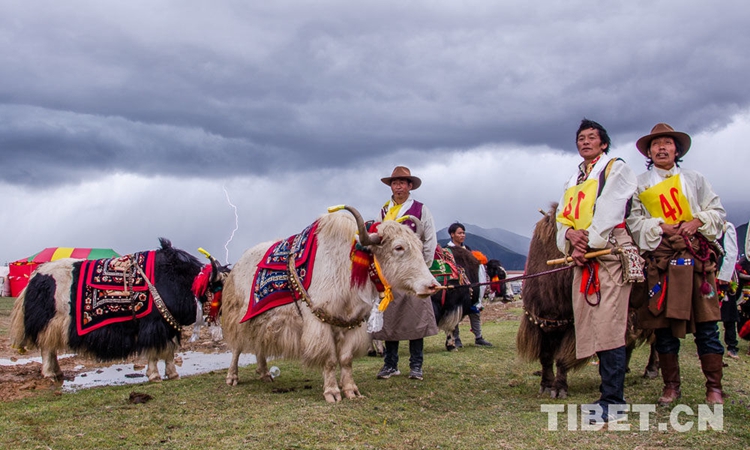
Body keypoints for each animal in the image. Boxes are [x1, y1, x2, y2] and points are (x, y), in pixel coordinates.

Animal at [9, 238, 228, 383]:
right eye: (222, 289)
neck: (182, 281)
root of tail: (34, 278)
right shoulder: (154, 324)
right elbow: (155, 351)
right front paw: (154, 375)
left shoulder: (169, 325)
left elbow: (169, 351)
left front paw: (173, 374)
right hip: (49, 322)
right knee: (47, 348)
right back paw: (51, 374)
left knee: (51, 348)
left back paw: (57, 371)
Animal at [221, 206, 441, 403]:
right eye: (398, 248)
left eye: (420, 247)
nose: (433, 286)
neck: (346, 265)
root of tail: (238, 262)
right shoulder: (320, 321)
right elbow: (330, 359)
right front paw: (332, 393)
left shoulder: (352, 322)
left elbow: (346, 359)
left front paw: (351, 390)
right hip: (239, 316)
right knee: (237, 347)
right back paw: (232, 377)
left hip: (263, 321)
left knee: (260, 344)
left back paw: (266, 374)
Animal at [516, 205, 658, 399]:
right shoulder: (540, 323)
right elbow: (545, 356)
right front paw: (545, 385)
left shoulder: (574, 326)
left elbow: (562, 358)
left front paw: (559, 388)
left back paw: (651, 369)